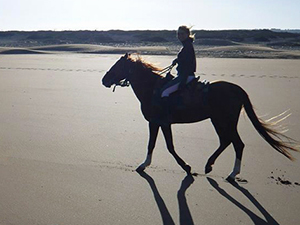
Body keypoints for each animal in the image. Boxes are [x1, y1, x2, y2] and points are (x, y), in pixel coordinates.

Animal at [101, 53, 298, 181]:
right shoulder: (155, 123)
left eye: (118, 66)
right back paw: (210, 165)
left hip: (225, 121)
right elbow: (152, 144)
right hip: (217, 120)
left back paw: (232, 174)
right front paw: (144, 165)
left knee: (237, 144)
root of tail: (237, 89)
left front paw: (186, 167)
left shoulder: (162, 122)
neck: (152, 89)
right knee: (226, 141)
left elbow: (169, 146)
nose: (104, 80)